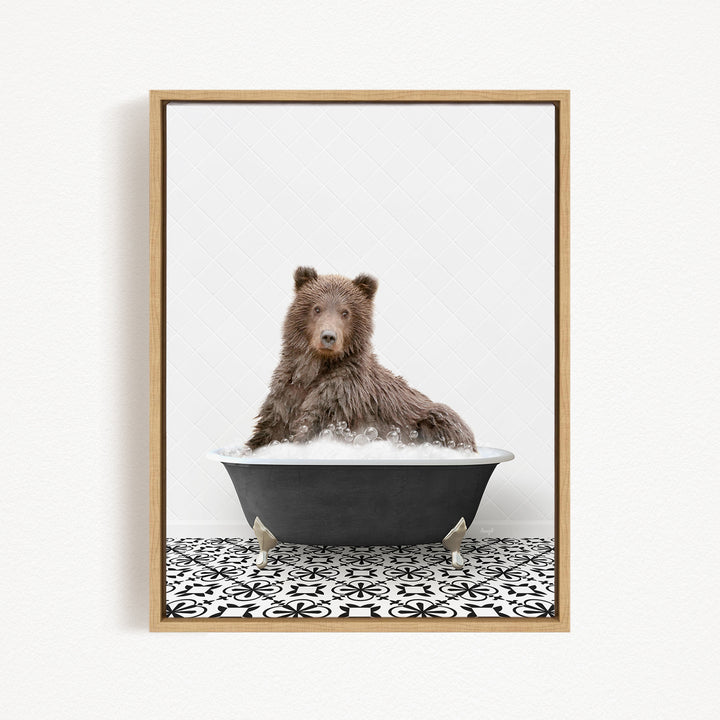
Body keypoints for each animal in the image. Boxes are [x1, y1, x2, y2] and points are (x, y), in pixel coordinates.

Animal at [246, 266, 476, 451]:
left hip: (433, 419)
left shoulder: (342, 396)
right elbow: (269, 429)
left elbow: (312, 426)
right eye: (316, 308)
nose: (328, 336)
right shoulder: (287, 392)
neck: (316, 368)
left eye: (345, 312)